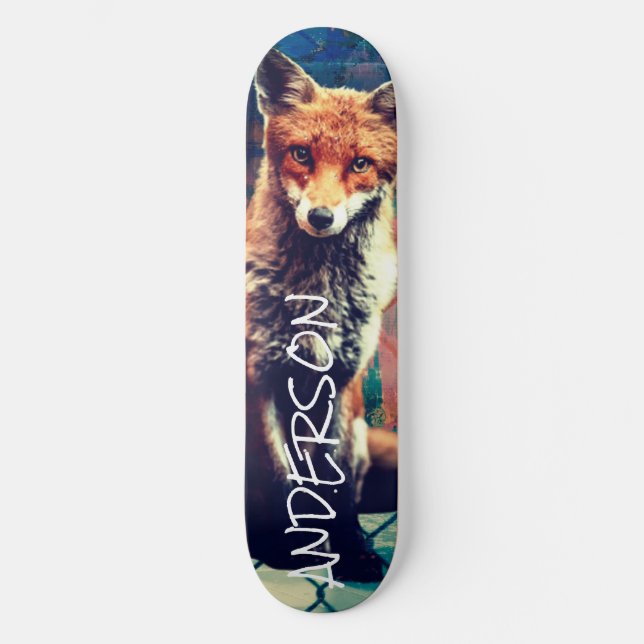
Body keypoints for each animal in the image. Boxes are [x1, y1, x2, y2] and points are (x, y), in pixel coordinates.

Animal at [245, 48, 397, 582]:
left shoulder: (344, 381)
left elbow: (336, 483)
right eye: (302, 155)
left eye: (360, 163)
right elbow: (276, 477)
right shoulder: (261, 377)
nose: (320, 218)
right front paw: (285, 549)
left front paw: (350, 549)